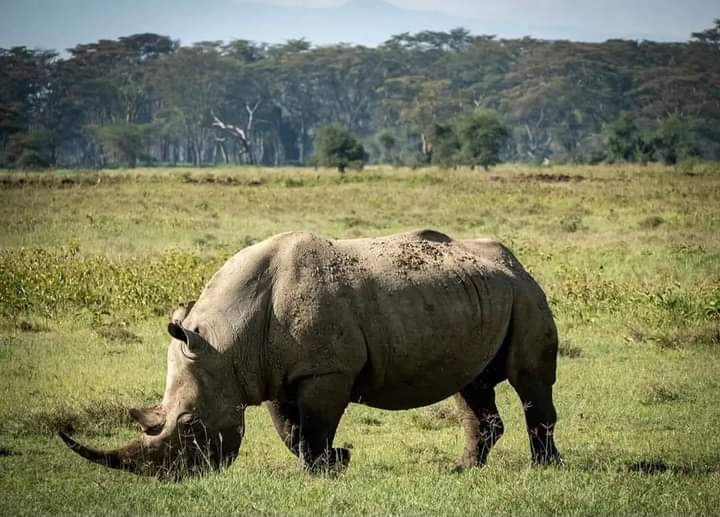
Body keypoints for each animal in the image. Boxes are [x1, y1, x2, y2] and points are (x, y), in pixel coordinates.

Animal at [59, 230, 560, 476]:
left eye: (189, 426)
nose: (175, 477)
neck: (225, 341)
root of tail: (516, 262)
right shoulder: (271, 373)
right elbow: (290, 430)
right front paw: (333, 463)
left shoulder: (326, 372)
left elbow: (315, 426)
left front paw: (324, 469)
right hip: (479, 296)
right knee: (470, 385)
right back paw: (462, 470)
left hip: (525, 294)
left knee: (528, 380)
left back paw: (543, 469)